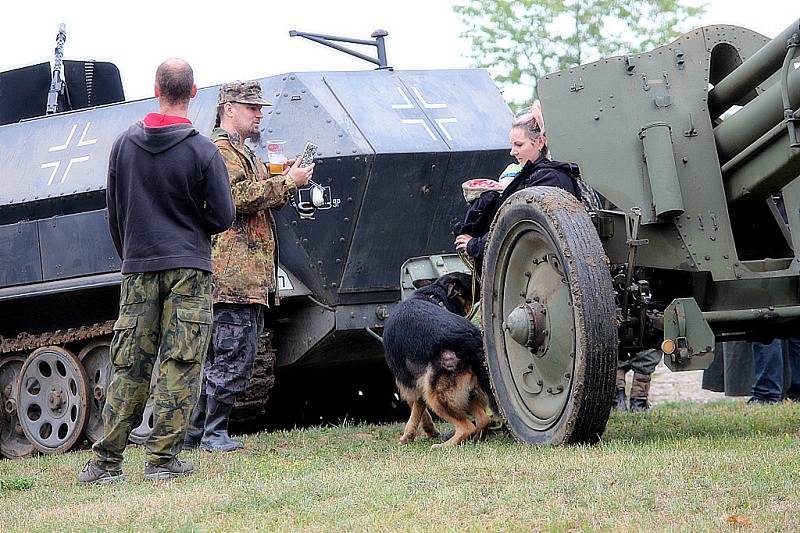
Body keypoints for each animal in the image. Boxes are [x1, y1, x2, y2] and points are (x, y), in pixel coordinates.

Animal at [382, 272, 494, 446]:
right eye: (471, 280)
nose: (479, 280)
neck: (435, 296)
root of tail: (471, 339)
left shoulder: (408, 383)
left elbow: (416, 411)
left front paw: (409, 436)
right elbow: (419, 409)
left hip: (436, 394)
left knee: (467, 427)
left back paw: (443, 446)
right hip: (468, 391)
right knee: (483, 420)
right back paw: (475, 439)